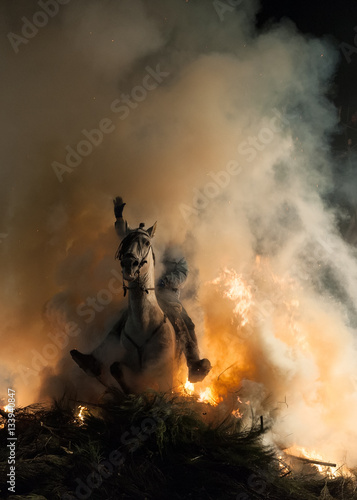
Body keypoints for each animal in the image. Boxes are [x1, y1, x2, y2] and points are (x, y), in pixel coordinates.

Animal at [69, 224, 175, 394]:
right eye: (124, 242)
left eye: (146, 242)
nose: (129, 264)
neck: (144, 324)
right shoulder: (134, 370)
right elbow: (115, 368)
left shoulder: (163, 372)